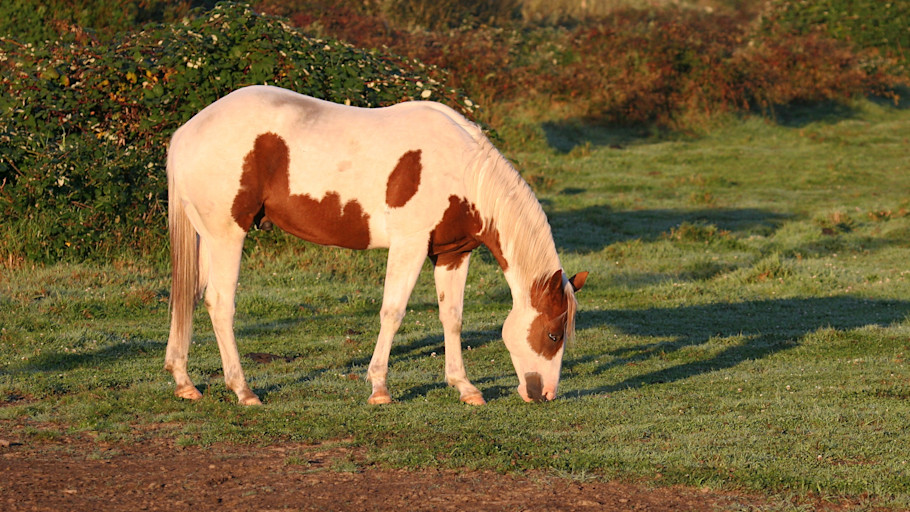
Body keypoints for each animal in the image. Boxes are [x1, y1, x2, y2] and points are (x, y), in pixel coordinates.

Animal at [167, 85, 588, 404]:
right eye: (554, 335)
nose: (545, 394)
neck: (463, 171)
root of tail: (186, 132)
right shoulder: (410, 246)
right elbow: (393, 312)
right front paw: (380, 388)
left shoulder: (453, 254)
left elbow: (452, 317)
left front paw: (465, 387)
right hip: (227, 235)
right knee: (220, 304)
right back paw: (243, 390)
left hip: (207, 237)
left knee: (189, 296)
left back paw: (184, 382)